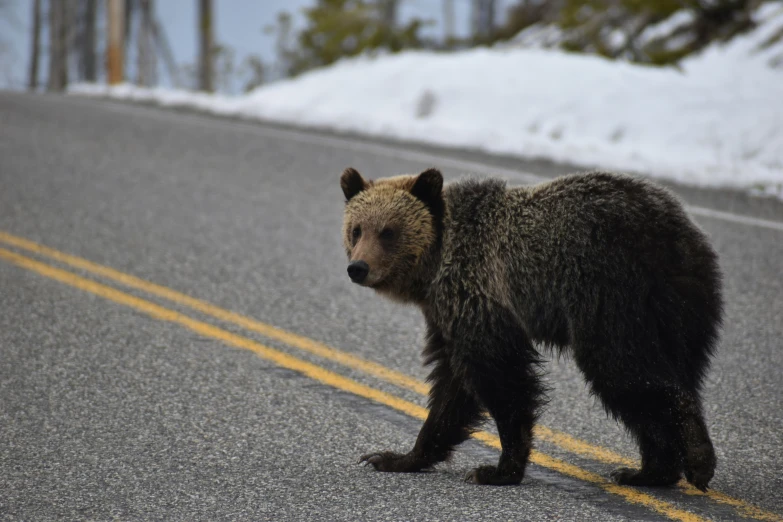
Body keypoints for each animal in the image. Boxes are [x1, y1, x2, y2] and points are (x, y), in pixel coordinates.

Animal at [342, 167, 724, 488]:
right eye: (356, 229)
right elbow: (453, 389)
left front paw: (497, 469)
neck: (434, 265)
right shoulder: (447, 315)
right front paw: (394, 457)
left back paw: (697, 460)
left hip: (612, 292)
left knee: (622, 369)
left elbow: (501, 379)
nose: (358, 267)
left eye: (388, 232)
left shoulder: (478, 291)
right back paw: (648, 471)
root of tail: (679, 230)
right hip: (679, 313)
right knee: (667, 373)